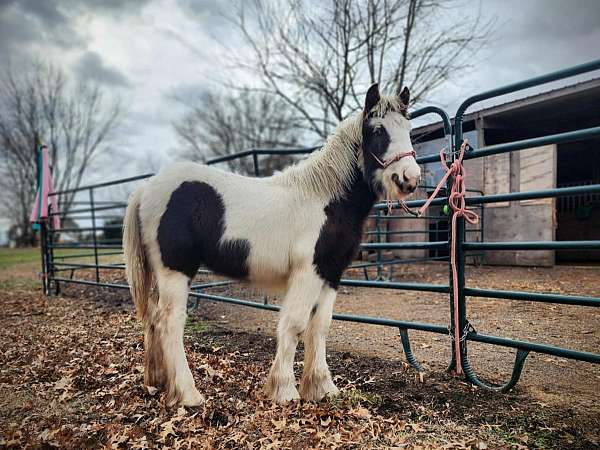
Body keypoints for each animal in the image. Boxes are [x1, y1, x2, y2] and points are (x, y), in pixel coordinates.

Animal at [123, 82, 422, 406]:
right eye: (378, 130)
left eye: (408, 128)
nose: (409, 178)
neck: (326, 200)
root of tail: (146, 188)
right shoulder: (307, 273)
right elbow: (295, 325)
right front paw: (285, 390)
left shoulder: (330, 274)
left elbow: (320, 327)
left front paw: (321, 387)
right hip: (175, 271)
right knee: (170, 322)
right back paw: (188, 394)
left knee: (154, 319)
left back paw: (158, 382)